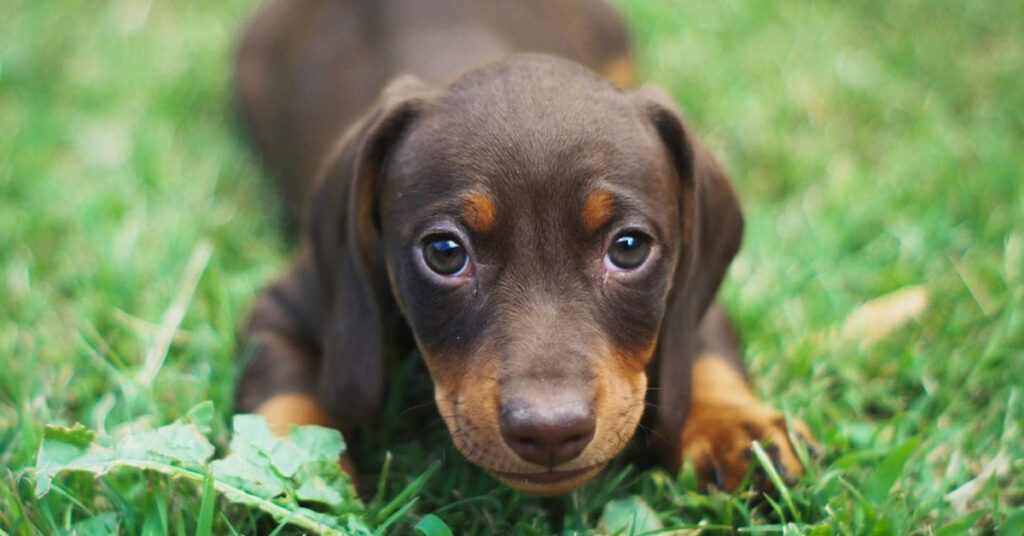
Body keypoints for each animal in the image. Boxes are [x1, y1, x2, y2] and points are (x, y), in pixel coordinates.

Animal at [232, 0, 815, 498]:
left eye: (629, 248)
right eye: (445, 252)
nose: (551, 432)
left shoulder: (688, 290)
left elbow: (706, 353)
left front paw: (734, 429)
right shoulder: (286, 308)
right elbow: (282, 402)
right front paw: (280, 474)